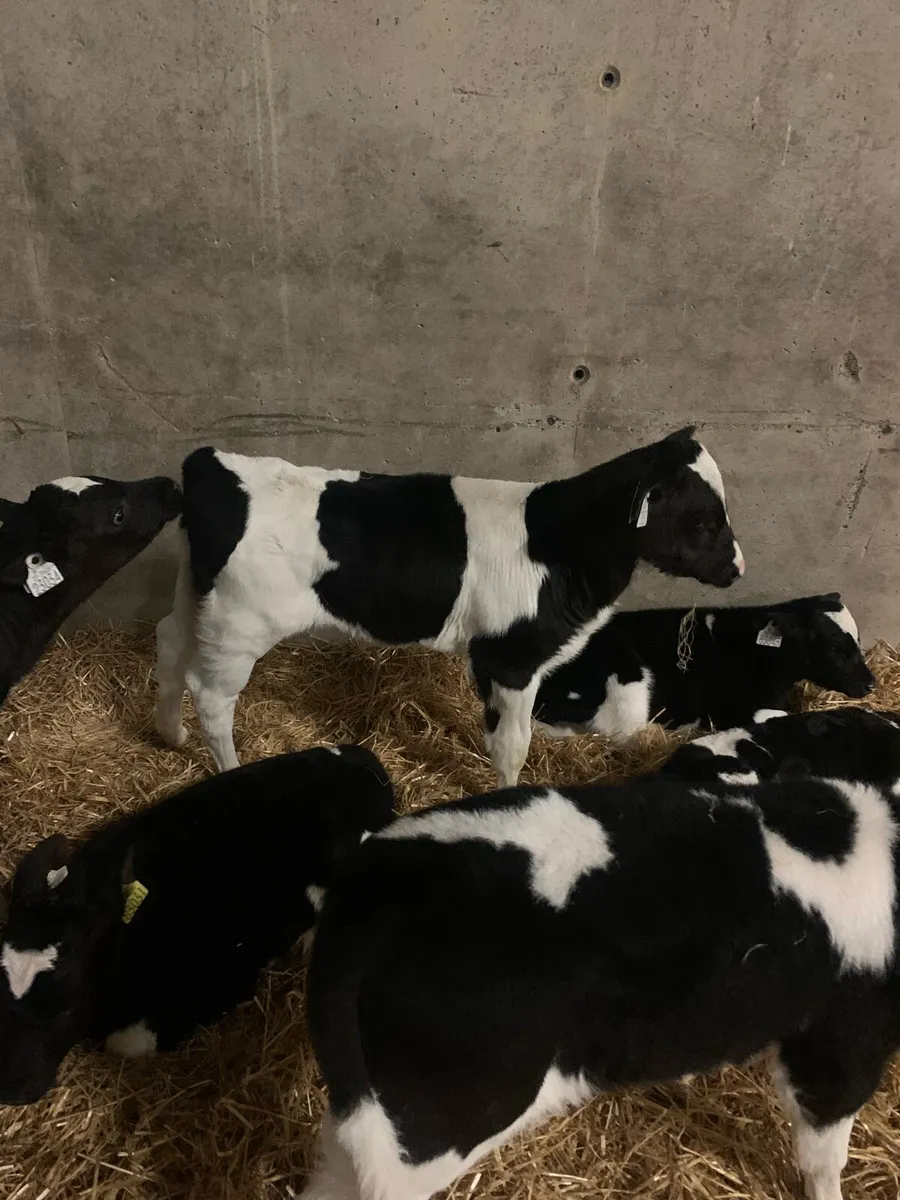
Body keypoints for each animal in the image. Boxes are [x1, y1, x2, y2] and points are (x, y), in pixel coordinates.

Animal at [153, 427, 743, 784]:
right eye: (703, 519)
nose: (737, 569)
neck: (556, 543)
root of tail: (211, 464)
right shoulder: (510, 658)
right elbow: (513, 745)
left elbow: (497, 734)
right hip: (240, 622)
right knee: (210, 695)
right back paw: (228, 768)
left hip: (193, 595)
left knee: (169, 645)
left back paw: (169, 734)